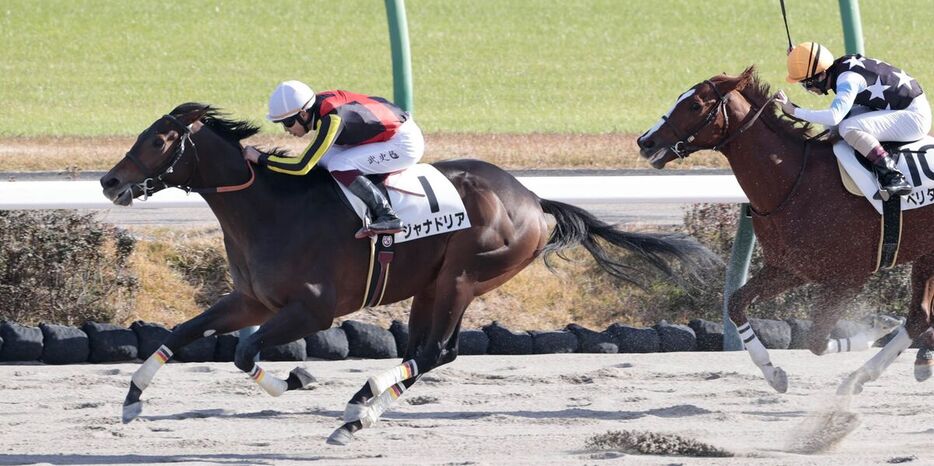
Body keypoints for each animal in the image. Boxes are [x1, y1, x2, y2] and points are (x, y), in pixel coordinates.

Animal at [102, 102, 712, 444]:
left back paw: (356, 415)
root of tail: (533, 199)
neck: (270, 208)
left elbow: (245, 352)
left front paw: (298, 379)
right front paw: (131, 401)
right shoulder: (252, 300)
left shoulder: (313, 310)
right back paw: (361, 405)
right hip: (430, 283)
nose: (109, 182)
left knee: (437, 350)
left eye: (159, 140)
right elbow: (182, 333)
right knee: (424, 349)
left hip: (464, 276)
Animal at [640, 67, 932, 396]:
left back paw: (863, 375)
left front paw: (877, 328)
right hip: (926, 254)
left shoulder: (849, 277)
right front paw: (773, 373)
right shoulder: (789, 268)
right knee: (919, 316)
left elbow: (817, 341)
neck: (794, 181)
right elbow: (736, 303)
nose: (645, 141)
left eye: (694, 105)